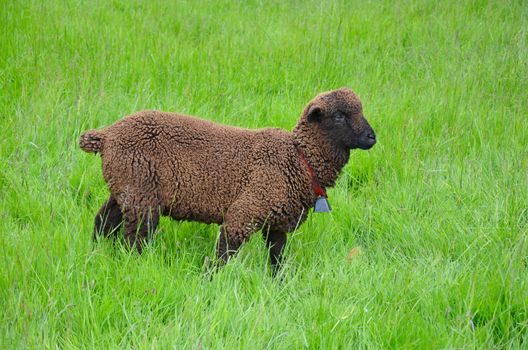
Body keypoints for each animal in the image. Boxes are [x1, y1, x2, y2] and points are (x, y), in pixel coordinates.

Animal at [79, 87, 376, 274]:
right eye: (339, 116)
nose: (372, 137)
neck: (299, 159)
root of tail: (106, 135)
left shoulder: (277, 223)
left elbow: (277, 258)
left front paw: (280, 284)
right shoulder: (246, 211)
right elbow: (224, 253)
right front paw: (209, 280)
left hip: (127, 187)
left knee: (103, 221)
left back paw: (95, 253)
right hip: (140, 194)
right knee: (133, 239)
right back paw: (134, 267)